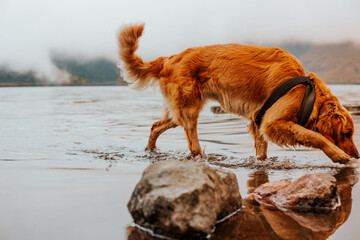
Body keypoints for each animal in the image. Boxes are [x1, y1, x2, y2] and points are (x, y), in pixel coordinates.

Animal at [117, 23, 358, 163]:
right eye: (347, 133)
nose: (357, 155)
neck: (311, 94)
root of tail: (169, 59)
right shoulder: (273, 122)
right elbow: (316, 136)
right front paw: (338, 155)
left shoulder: (258, 122)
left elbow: (262, 152)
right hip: (189, 110)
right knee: (193, 146)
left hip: (178, 112)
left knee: (155, 126)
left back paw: (150, 151)